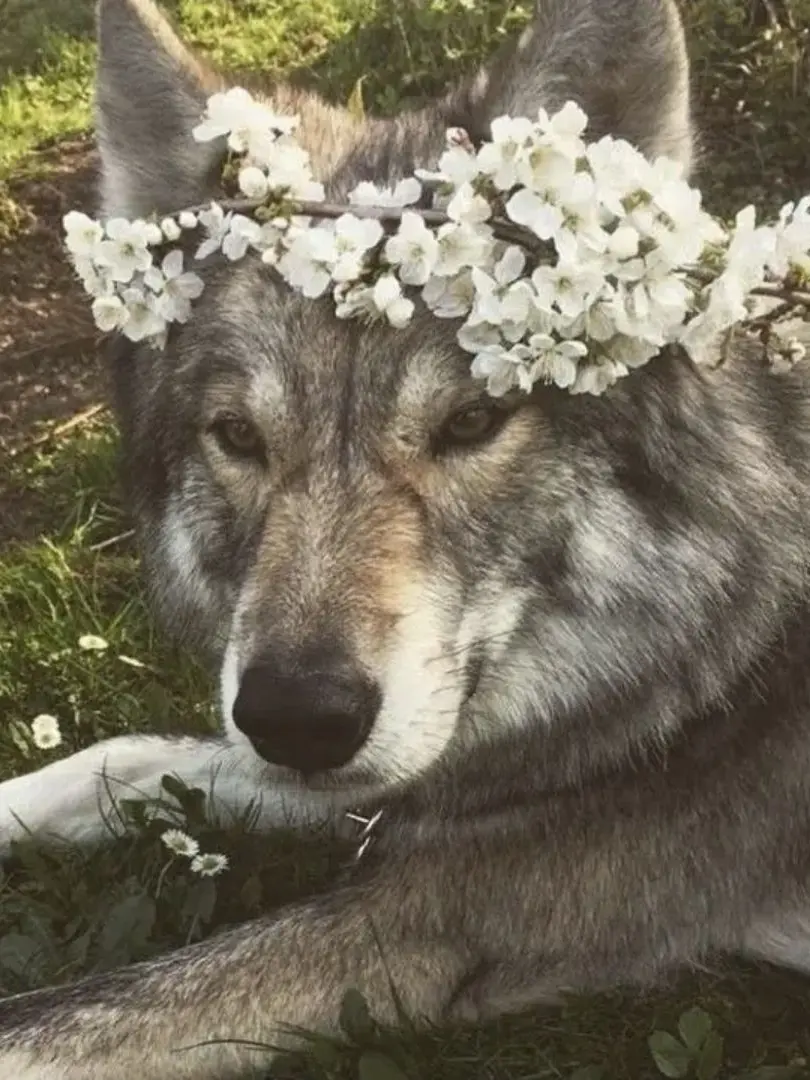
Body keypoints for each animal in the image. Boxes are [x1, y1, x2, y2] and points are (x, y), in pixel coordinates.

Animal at [2, 0, 810, 1076]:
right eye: (239, 438)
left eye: (472, 423)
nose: (300, 718)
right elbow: (136, 756)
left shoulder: (430, 913)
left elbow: (62, 1021)